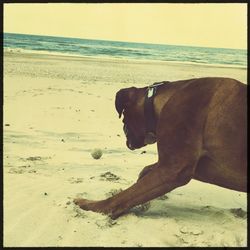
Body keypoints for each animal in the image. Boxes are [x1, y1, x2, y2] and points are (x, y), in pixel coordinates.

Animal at [73, 77, 246, 219]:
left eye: (124, 119)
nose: (124, 134)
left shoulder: (174, 170)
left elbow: (123, 196)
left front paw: (90, 206)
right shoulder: (189, 165)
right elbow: (144, 173)